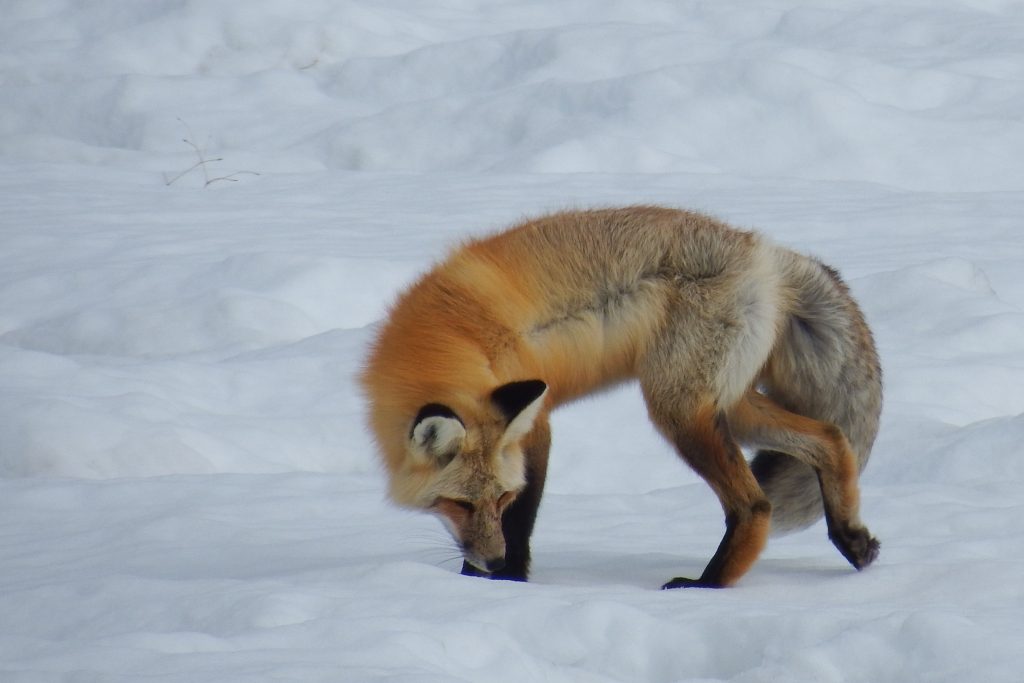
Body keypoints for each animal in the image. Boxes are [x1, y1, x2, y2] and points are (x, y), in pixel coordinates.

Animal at [364, 208, 884, 589]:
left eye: (503, 496)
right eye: (460, 504)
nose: (491, 562)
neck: (449, 342)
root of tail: (768, 252)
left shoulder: (537, 424)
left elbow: (522, 521)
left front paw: (505, 582)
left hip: (678, 411)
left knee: (755, 505)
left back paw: (708, 585)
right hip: (728, 406)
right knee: (831, 438)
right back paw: (850, 537)